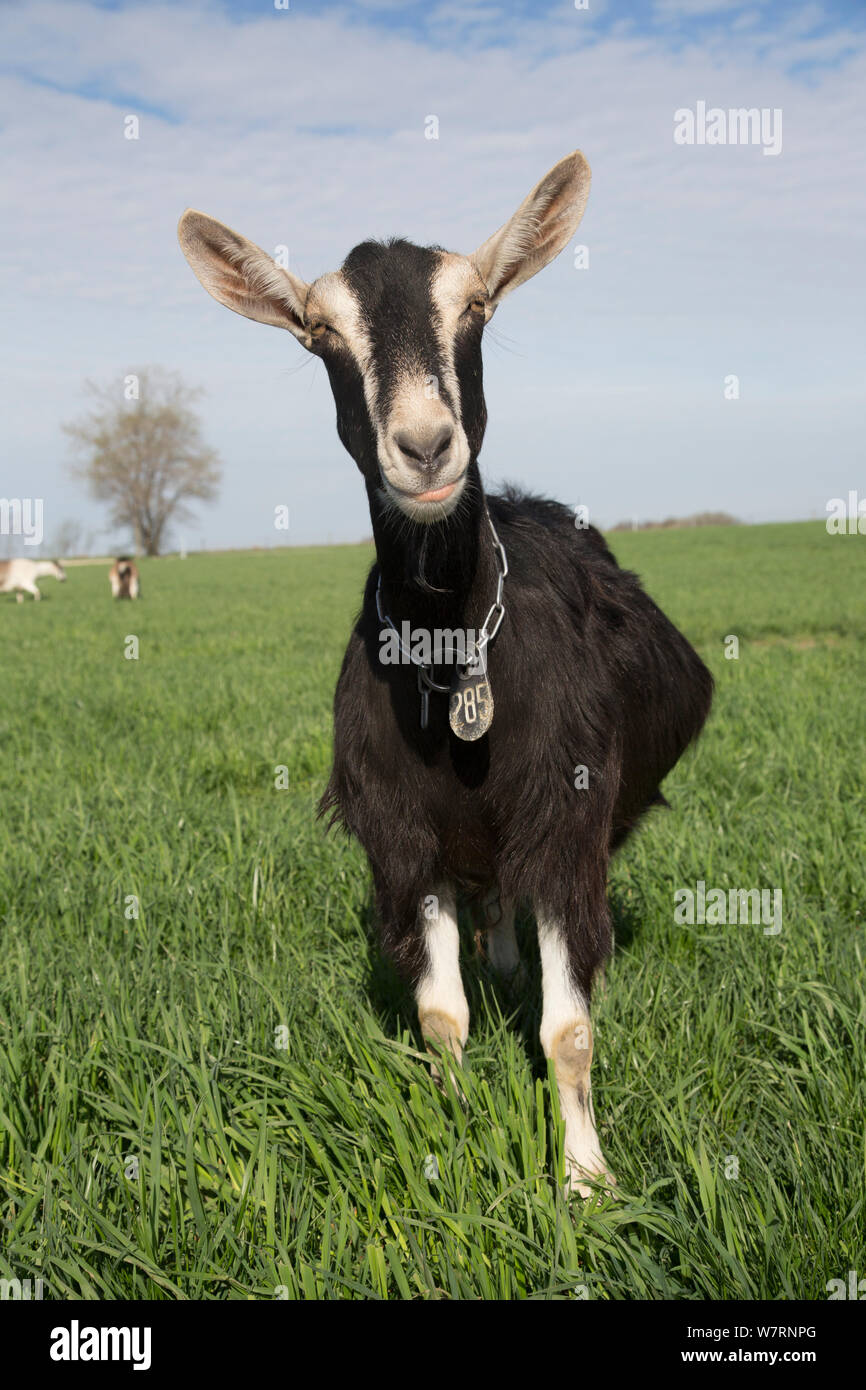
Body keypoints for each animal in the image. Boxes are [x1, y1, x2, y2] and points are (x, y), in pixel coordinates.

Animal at [179, 149, 717, 1195]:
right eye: (320, 332)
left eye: (476, 307)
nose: (426, 445)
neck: (449, 660)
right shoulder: (403, 833)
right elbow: (440, 1016)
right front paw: (456, 1142)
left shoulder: (565, 815)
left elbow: (569, 1028)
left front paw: (586, 1184)